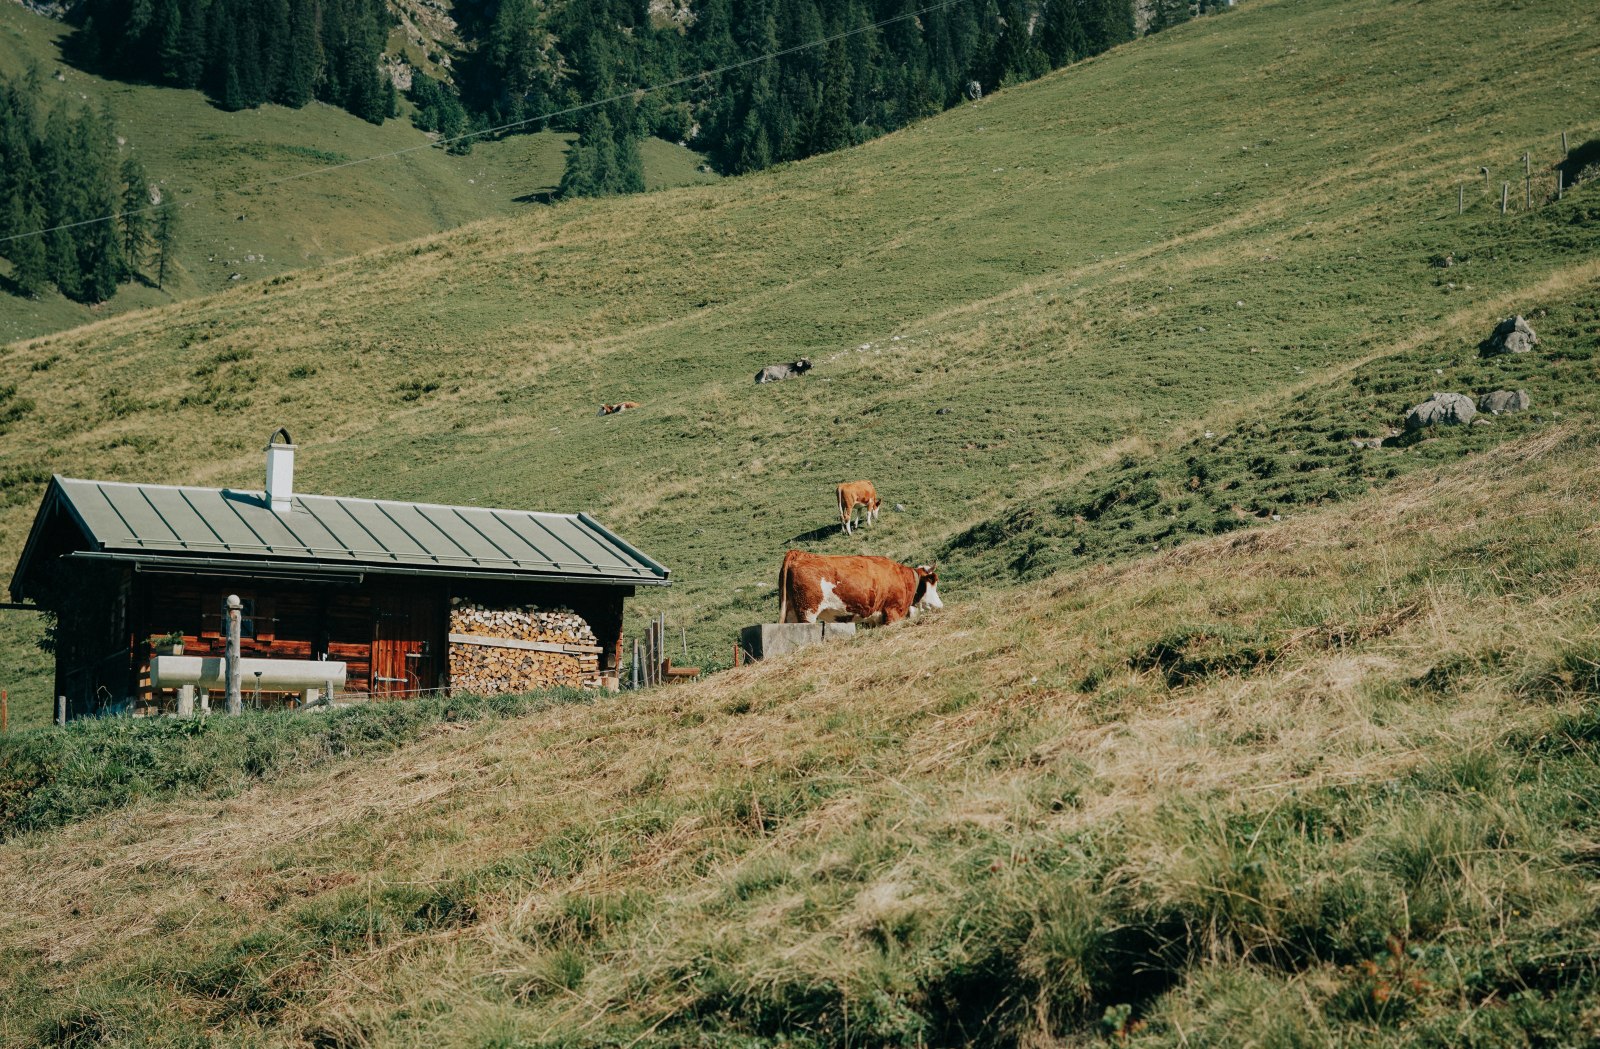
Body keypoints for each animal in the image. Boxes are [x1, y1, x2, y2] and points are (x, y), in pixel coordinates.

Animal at [774, 553, 934, 626]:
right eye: (932, 581)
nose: (937, 605)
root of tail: (798, 554)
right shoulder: (892, 613)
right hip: (807, 612)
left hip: (791, 612)